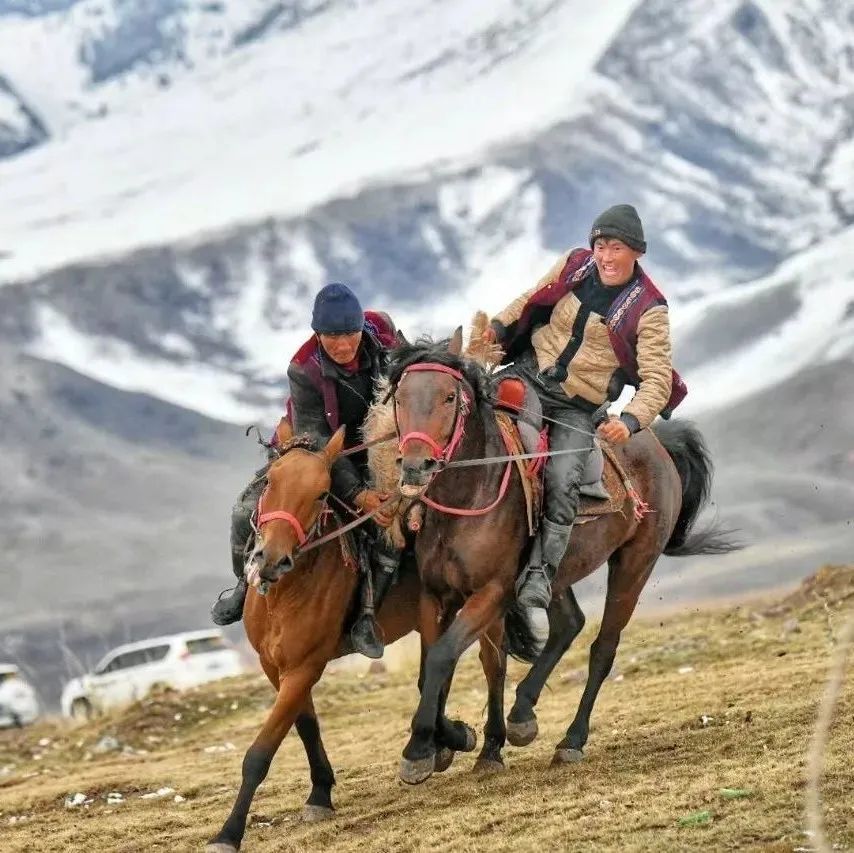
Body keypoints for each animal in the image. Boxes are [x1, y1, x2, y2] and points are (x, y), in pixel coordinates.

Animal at [207, 422, 502, 848]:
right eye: (270, 482)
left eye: (320, 493)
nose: (271, 559)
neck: (285, 593)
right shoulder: (276, 668)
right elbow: (306, 726)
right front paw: (320, 793)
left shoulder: (304, 668)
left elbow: (260, 753)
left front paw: (228, 833)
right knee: (437, 674)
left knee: (491, 667)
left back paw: (483, 747)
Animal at [388, 332, 736, 780]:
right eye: (399, 397)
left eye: (450, 397)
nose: (416, 466)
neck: (470, 494)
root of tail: (657, 443)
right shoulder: (435, 595)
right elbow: (436, 667)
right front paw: (449, 742)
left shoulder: (492, 593)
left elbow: (444, 657)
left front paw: (424, 748)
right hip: (556, 573)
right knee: (570, 623)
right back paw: (522, 715)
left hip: (634, 563)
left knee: (603, 648)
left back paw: (572, 740)